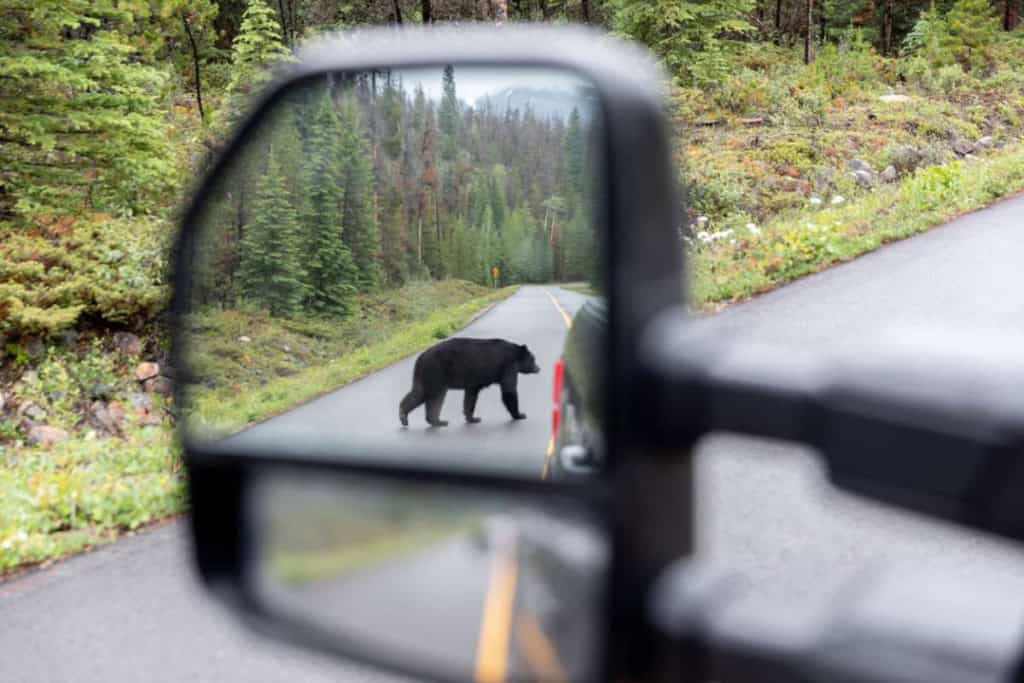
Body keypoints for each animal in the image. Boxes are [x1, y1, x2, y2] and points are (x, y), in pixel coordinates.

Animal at [399, 338, 541, 427]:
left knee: (424, 394)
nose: (538, 368)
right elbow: (509, 390)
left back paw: (434, 421)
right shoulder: (508, 366)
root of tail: (420, 358)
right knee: (430, 395)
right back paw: (409, 417)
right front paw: (519, 414)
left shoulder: (474, 382)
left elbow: (470, 396)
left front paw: (472, 418)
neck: (515, 354)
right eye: (533, 359)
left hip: (429, 376)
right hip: (435, 372)